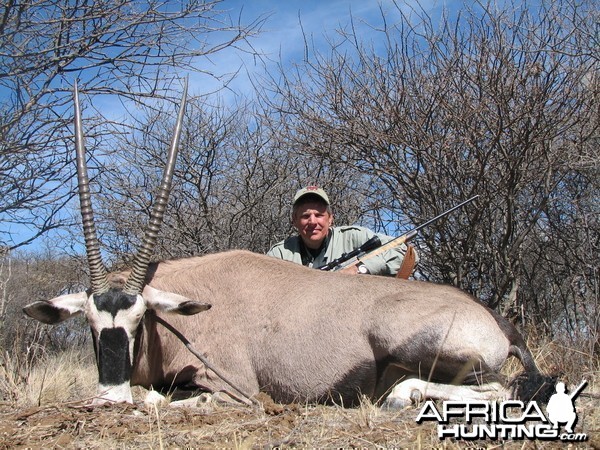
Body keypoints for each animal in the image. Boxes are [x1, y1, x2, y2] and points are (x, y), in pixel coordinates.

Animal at [22, 81, 552, 408]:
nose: (108, 398)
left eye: (139, 321)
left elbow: (160, 398)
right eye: (90, 324)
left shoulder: (232, 388)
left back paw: (400, 400)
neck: (183, 314)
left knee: (498, 390)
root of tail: (497, 321)